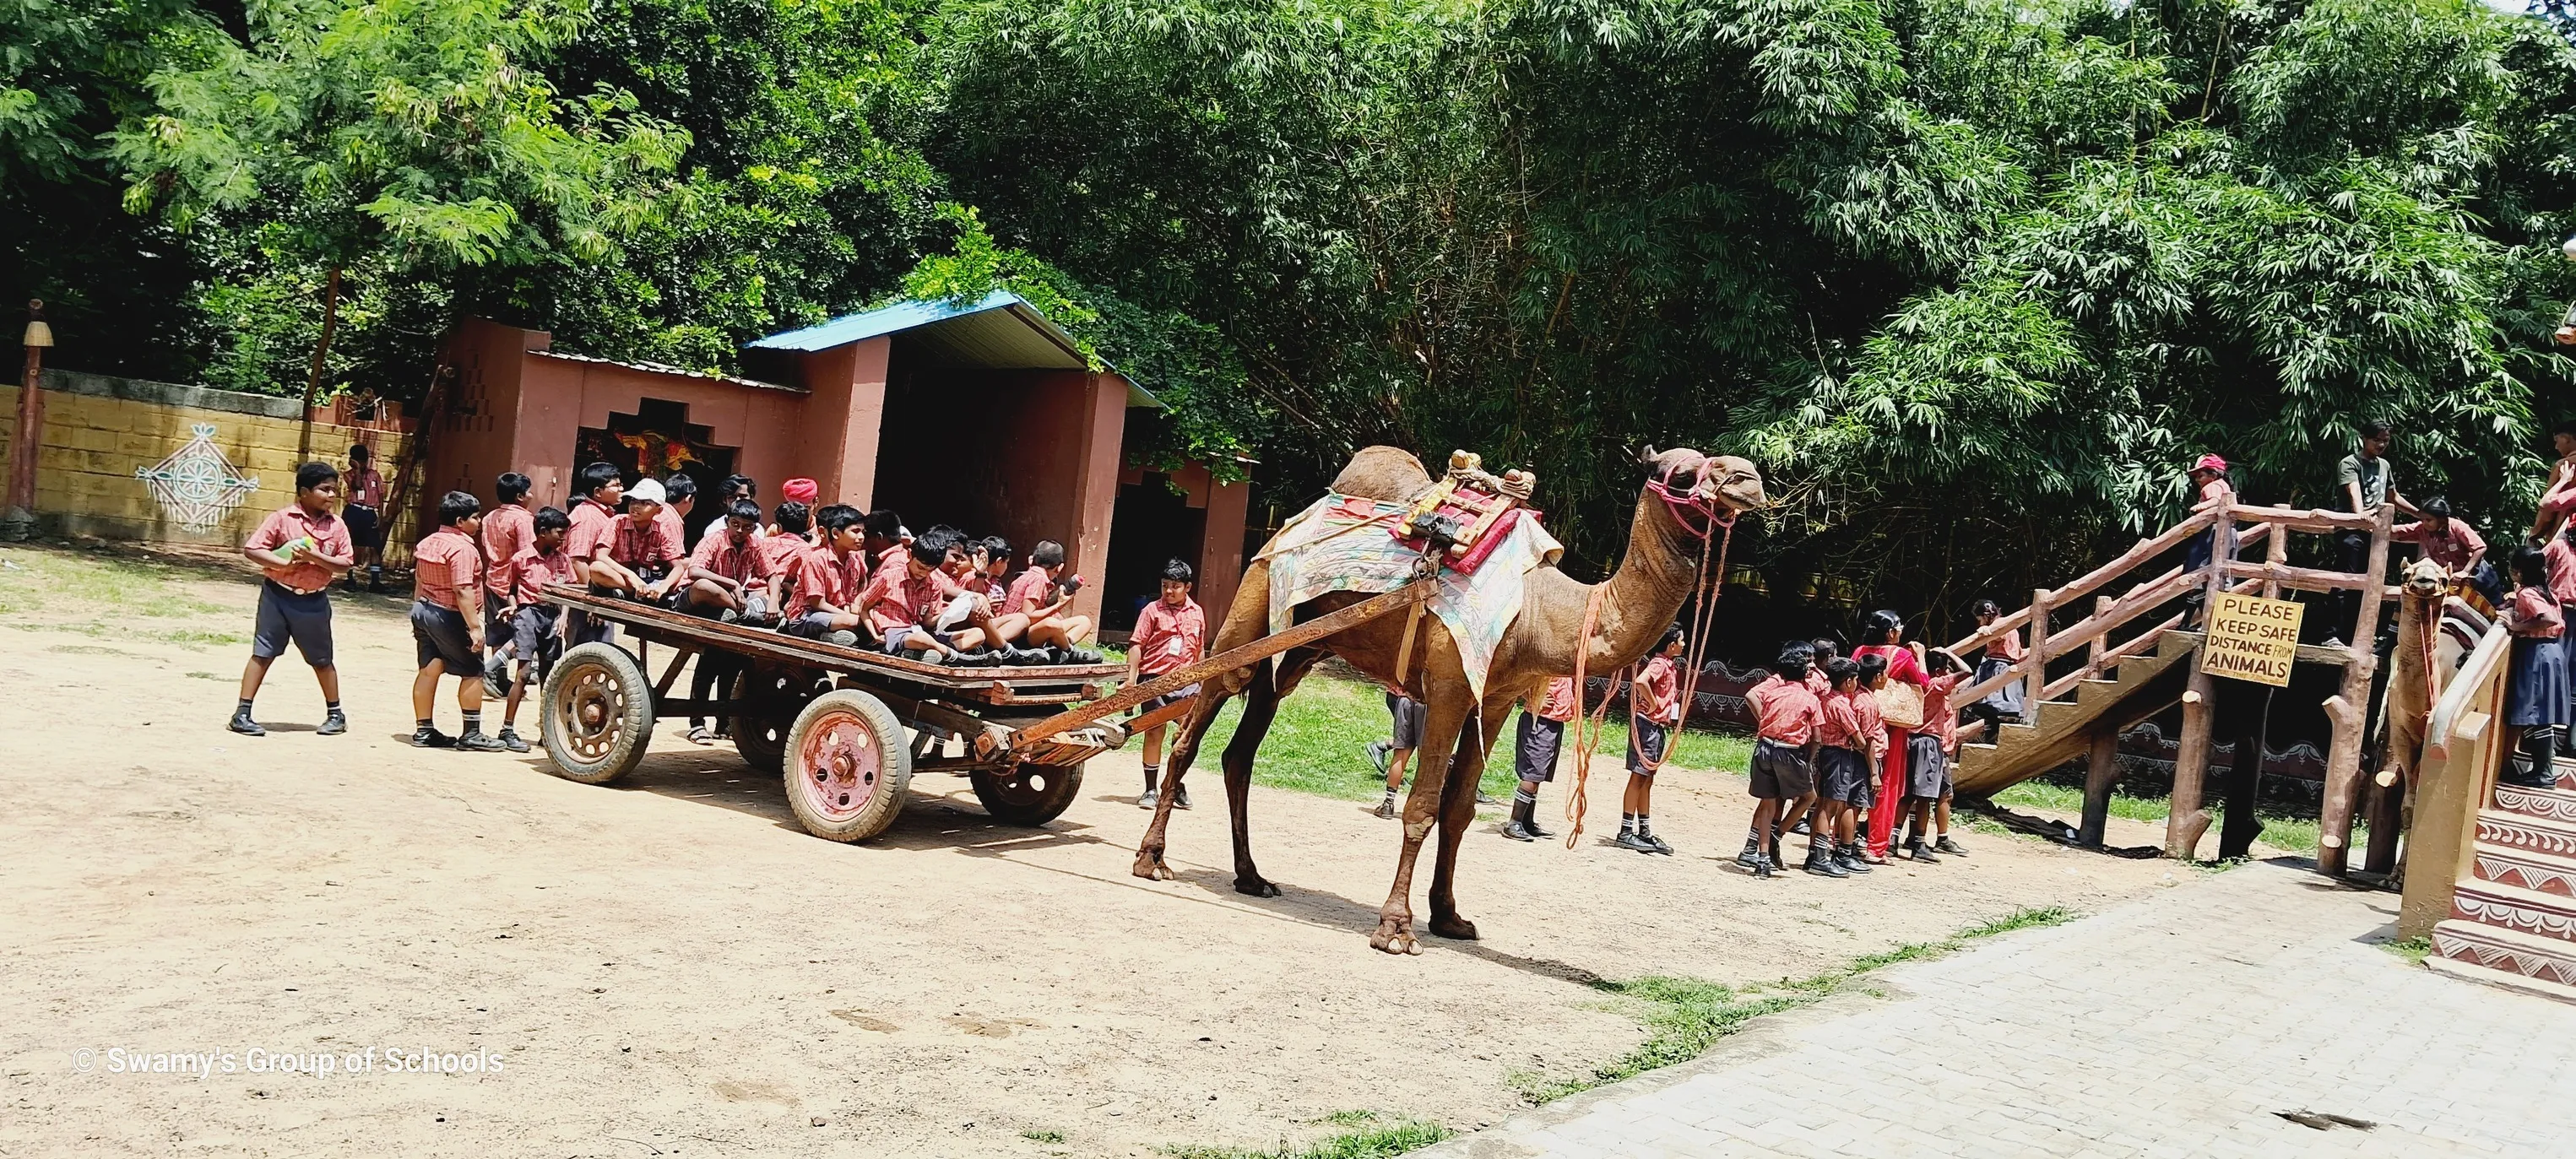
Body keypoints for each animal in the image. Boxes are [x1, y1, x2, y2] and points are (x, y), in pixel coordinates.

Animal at [1133, 442, 1761, 952]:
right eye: (1683, 473)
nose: (1749, 479)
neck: (1543, 613)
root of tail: (1290, 524)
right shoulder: (1452, 686)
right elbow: (1422, 805)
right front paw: (1395, 927)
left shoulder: (1498, 698)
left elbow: (1460, 808)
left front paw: (1450, 916)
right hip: (1252, 605)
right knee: (1192, 732)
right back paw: (1152, 859)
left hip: (1299, 647)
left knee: (1241, 750)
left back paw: (1251, 876)